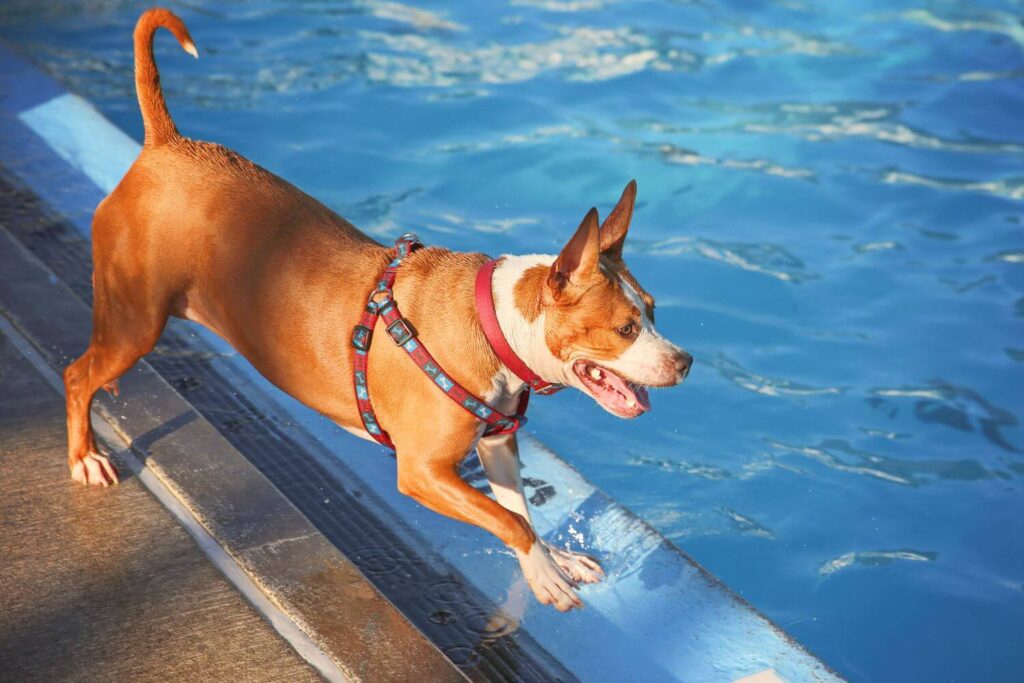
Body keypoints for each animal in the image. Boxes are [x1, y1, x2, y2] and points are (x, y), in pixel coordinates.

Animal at [61, 7, 688, 610]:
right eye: (625, 328)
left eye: (656, 311)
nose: (684, 362)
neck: (493, 325)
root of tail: (166, 145)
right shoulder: (422, 471)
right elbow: (508, 520)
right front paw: (546, 575)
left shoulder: (497, 445)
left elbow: (519, 511)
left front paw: (554, 560)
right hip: (136, 323)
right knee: (77, 374)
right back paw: (84, 457)